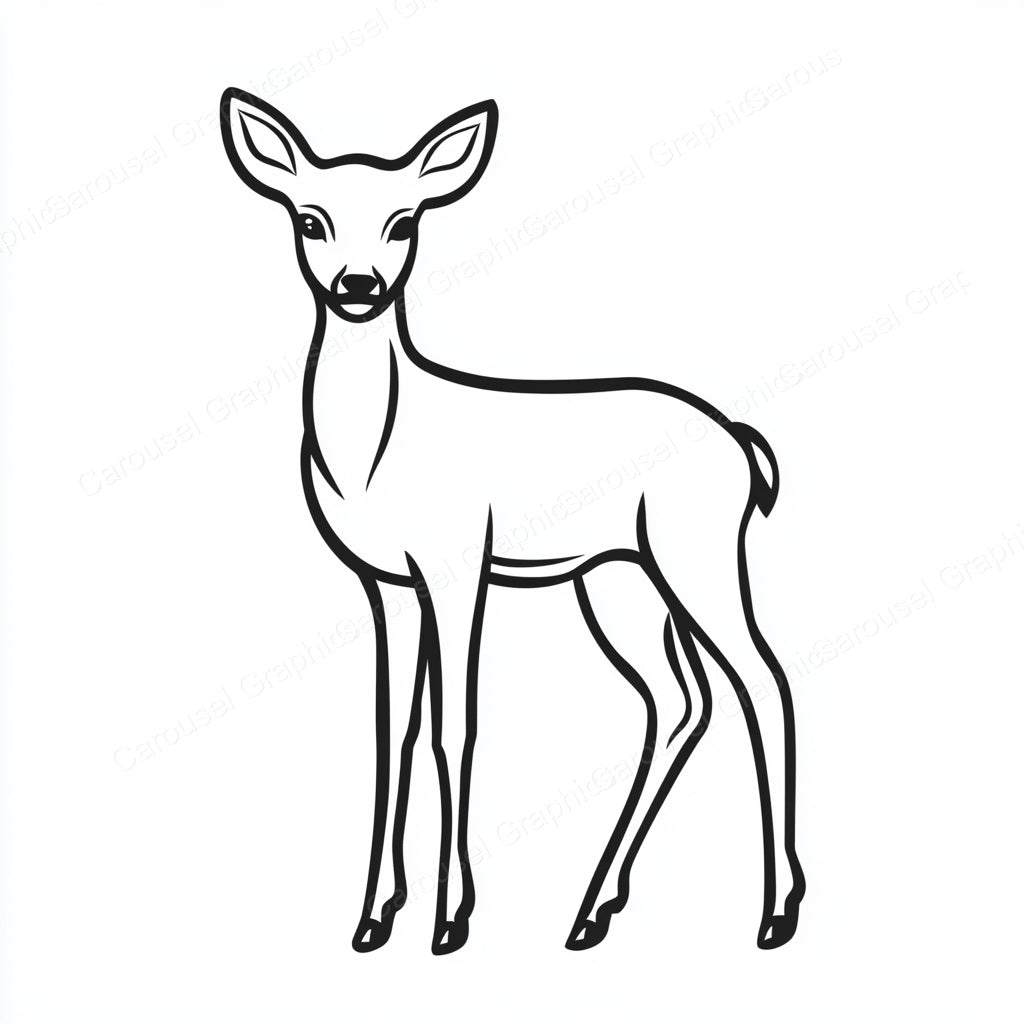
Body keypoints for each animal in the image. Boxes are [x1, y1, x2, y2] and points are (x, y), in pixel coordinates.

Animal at [220, 88, 805, 955]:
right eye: (310, 218)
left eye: (404, 221)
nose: (358, 285)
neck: (377, 455)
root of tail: (742, 445)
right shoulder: (385, 583)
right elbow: (391, 729)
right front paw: (373, 919)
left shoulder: (459, 559)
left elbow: (454, 724)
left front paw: (450, 920)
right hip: (618, 579)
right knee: (680, 701)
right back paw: (591, 912)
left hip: (694, 550)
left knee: (762, 681)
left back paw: (774, 914)